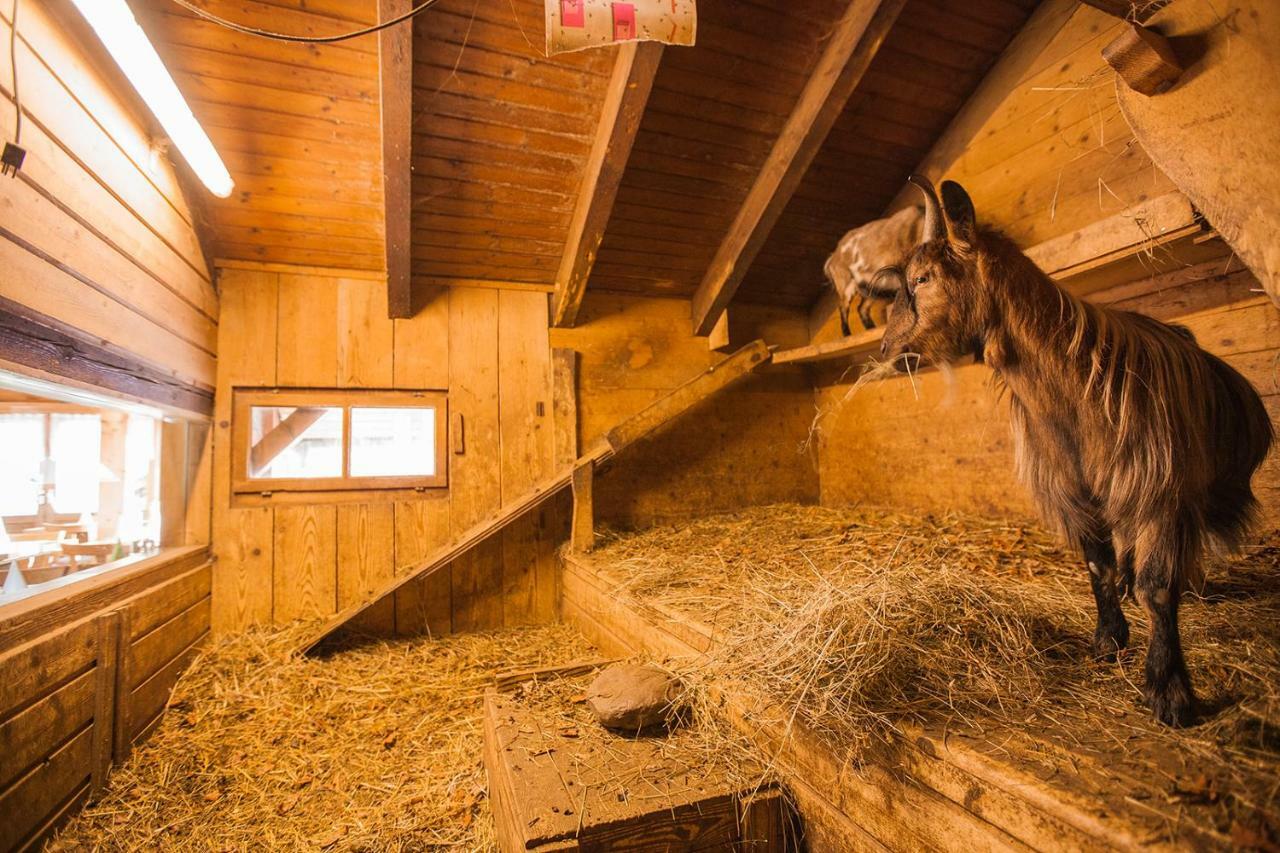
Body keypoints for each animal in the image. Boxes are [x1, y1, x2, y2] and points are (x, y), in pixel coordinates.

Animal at [875, 174, 1274, 722]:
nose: (886, 350)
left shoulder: (1157, 490)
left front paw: (1168, 690)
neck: (1072, 396)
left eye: (923, 279)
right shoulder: (1076, 491)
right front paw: (1108, 641)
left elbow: (1157, 587)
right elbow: (1097, 566)